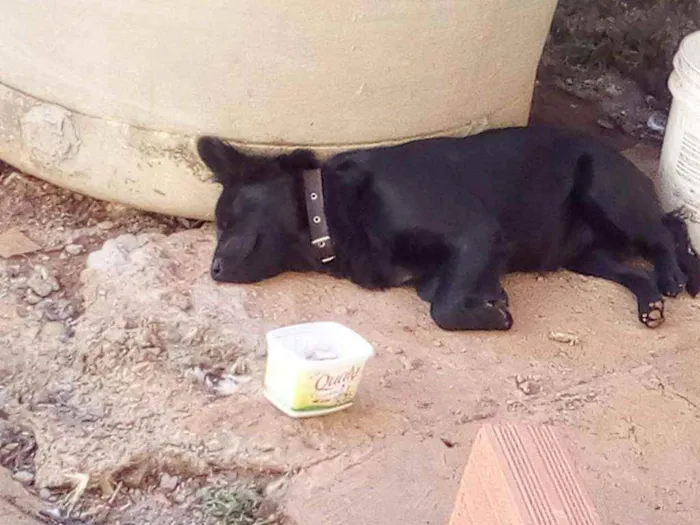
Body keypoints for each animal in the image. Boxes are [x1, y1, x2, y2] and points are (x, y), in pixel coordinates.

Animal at [193, 125, 700, 330]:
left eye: (227, 220)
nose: (212, 270)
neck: (330, 209)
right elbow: (432, 290)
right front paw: (490, 297)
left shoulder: (477, 233)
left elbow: (441, 308)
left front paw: (488, 314)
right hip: (585, 256)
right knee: (634, 266)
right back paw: (650, 301)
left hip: (608, 196)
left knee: (668, 231)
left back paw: (675, 275)